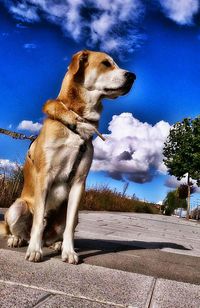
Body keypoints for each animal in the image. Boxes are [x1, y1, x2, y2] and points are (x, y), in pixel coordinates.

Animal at [0, 49, 136, 264]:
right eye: (106, 63)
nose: (132, 76)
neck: (77, 120)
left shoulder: (79, 182)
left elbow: (70, 227)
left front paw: (69, 251)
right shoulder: (45, 176)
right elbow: (38, 221)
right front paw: (34, 250)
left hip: (71, 213)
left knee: (56, 233)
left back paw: (56, 244)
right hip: (17, 206)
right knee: (22, 231)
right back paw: (19, 240)